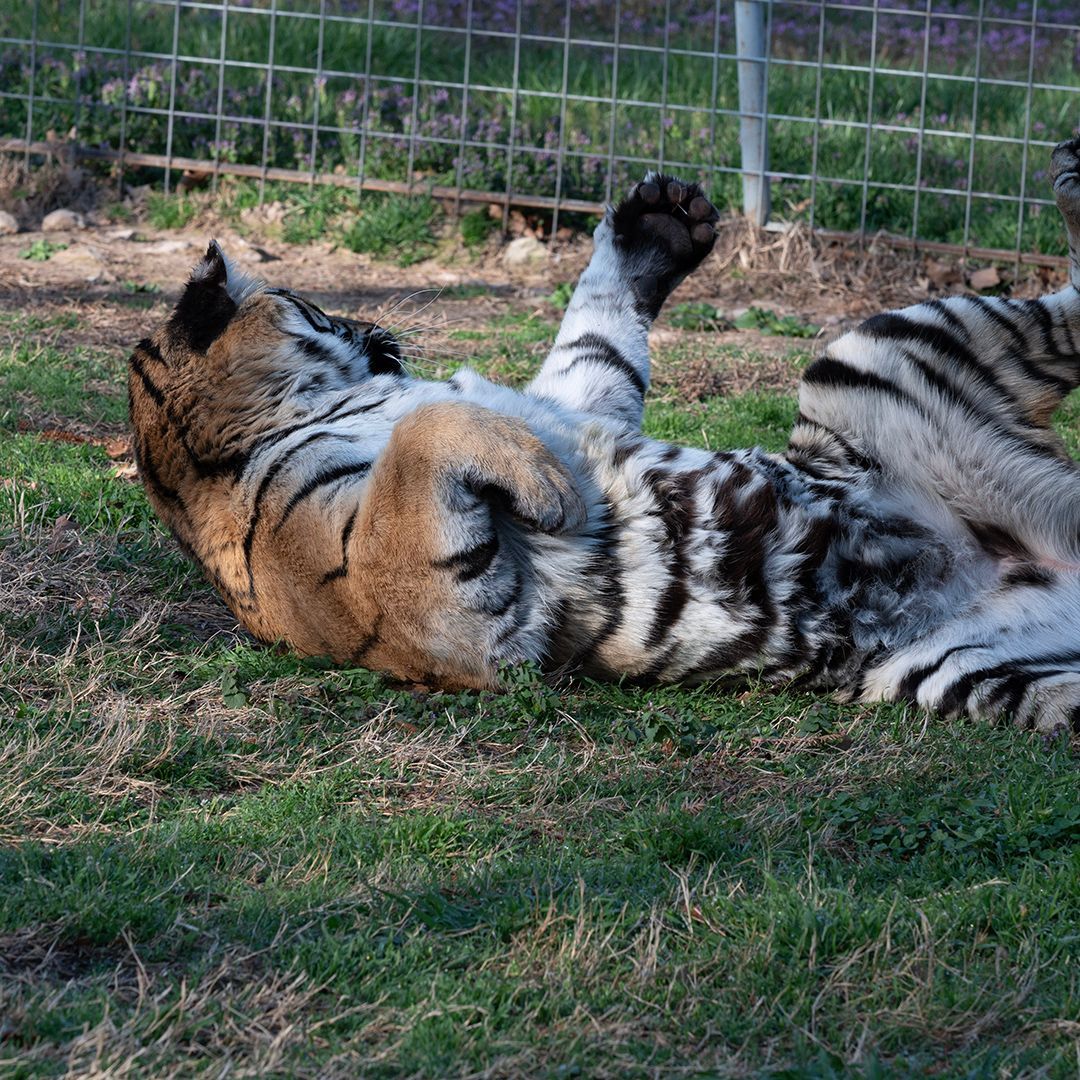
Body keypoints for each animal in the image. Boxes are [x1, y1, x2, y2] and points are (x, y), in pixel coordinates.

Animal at [127, 136, 1080, 733]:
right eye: (320, 306)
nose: (379, 329)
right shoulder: (436, 611)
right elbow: (425, 430)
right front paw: (550, 487)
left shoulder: (573, 396)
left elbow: (593, 341)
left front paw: (659, 224)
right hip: (875, 372)